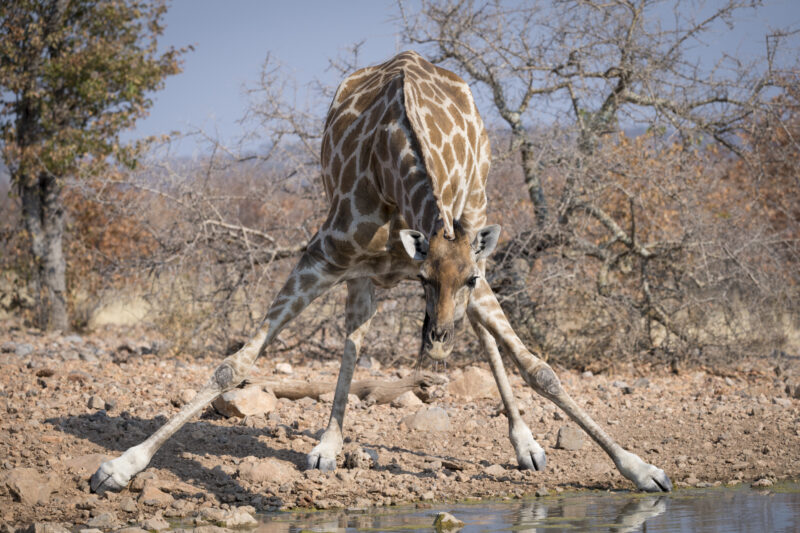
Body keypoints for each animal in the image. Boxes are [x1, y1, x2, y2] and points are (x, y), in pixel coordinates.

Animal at [90, 52, 672, 492]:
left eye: (465, 281)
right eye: (425, 280)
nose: (437, 339)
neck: (393, 173)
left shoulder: (471, 271)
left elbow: (540, 368)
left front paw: (643, 469)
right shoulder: (324, 256)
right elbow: (235, 364)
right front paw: (119, 467)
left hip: (476, 211)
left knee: (479, 336)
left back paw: (525, 445)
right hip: (361, 273)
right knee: (354, 337)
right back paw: (328, 446)